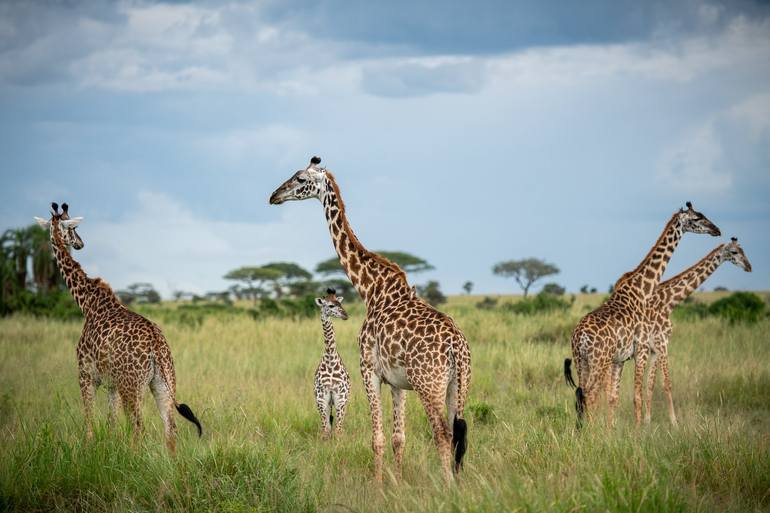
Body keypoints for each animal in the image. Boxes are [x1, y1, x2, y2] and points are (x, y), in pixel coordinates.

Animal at [33, 202, 201, 450]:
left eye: (73, 227)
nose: (80, 243)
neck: (87, 303)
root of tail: (156, 347)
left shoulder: (86, 374)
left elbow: (90, 421)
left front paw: (89, 450)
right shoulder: (111, 383)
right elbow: (111, 424)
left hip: (131, 385)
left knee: (139, 427)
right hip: (162, 381)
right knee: (170, 427)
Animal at [312, 286, 352, 438]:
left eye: (340, 303)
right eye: (330, 305)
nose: (345, 315)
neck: (330, 360)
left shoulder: (341, 398)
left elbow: (338, 432)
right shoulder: (321, 399)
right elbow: (326, 431)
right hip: (328, 403)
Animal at [560, 202, 720, 426]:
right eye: (697, 218)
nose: (716, 230)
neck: (641, 290)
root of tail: (580, 336)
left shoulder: (622, 358)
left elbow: (617, 396)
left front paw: (613, 430)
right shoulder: (642, 349)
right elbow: (637, 395)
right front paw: (639, 431)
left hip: (580, 360)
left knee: (581, 394)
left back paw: (583, 429)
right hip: (598, 361)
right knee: (590, 395)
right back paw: (591, 431)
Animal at [640, 236, 748, 424]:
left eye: (744, 250)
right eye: (734, 252)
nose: (749, 267)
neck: (667, 303)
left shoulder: (655, 348)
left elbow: (651, 383)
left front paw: (647, 421)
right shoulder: (662, 343)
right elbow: (667, 383)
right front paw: (674, 422)